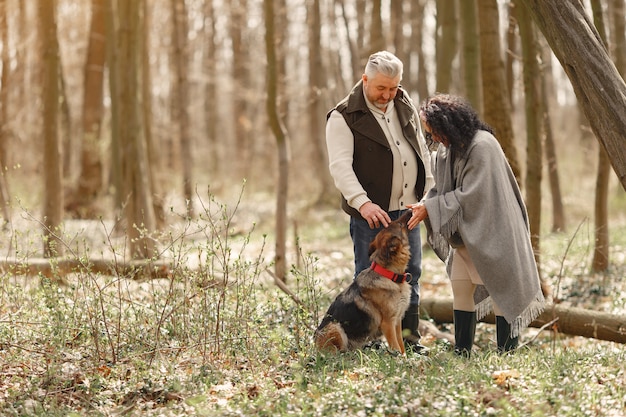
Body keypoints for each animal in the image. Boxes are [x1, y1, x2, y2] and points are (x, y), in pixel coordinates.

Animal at [314, 211, 412, 352]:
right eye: (399, 224)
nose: (410, 211)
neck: (388, 275)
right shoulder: (388, 323)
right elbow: (396, 347)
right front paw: (397, 357)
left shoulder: (397, 321)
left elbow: (401, 345)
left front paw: (405, 357)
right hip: (335, 327)